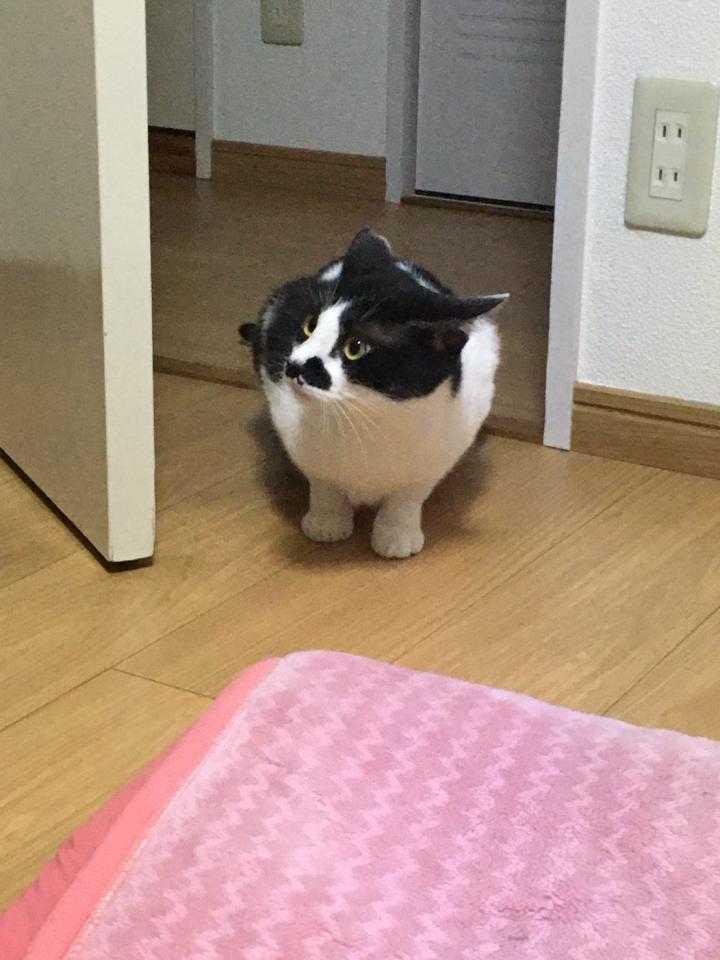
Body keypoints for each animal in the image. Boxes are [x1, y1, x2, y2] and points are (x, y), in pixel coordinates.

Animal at [240, 228, 507, 559]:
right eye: (310, 326)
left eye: (355, 347)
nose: (294, 367)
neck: (371, 417)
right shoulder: (299, 440)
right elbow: (324, 485)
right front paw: (326, 522)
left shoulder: (439, 455)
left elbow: (407, 498)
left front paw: (396, 535)